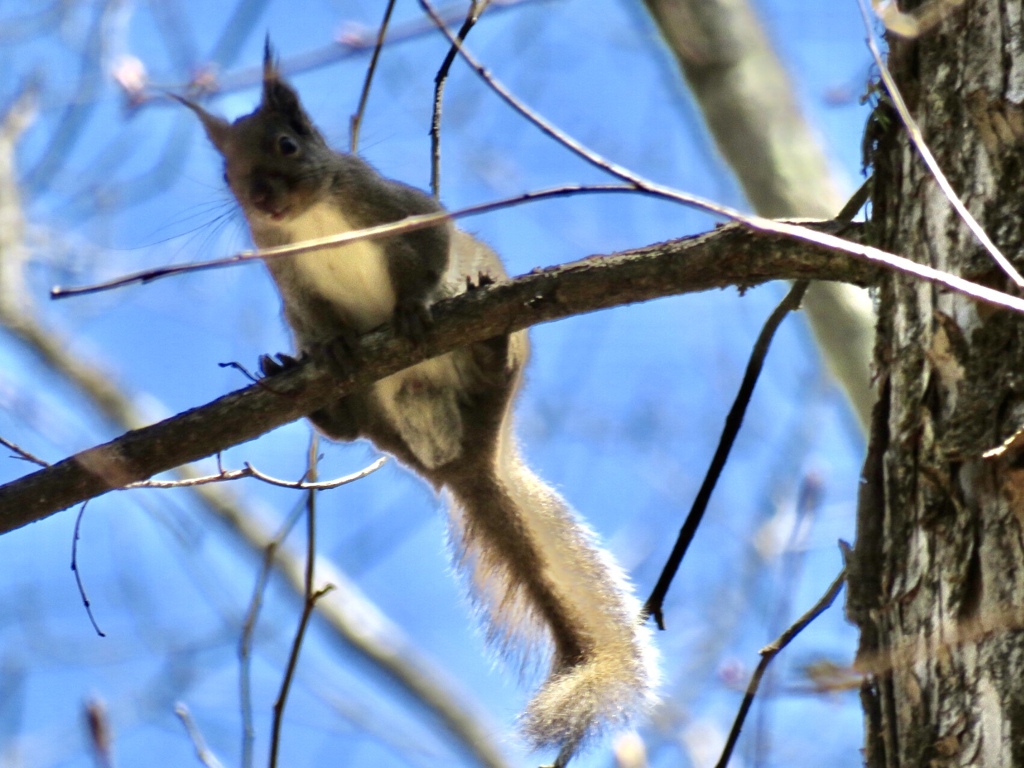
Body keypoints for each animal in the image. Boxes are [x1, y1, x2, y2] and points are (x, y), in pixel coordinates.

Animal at [178, 43, 655, 768]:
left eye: (287, 144)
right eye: (227, 173)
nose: (261, 198)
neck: (310, 223)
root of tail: (465, 462)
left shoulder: (404, 210)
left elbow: (427, 258)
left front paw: (410, 309)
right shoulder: (292, 288)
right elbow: (317, 319)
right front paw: (336, 345)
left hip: (499, 350)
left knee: (492, 368)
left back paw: (488, 349)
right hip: (375, 416)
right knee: (353, 431)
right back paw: (316, 394)